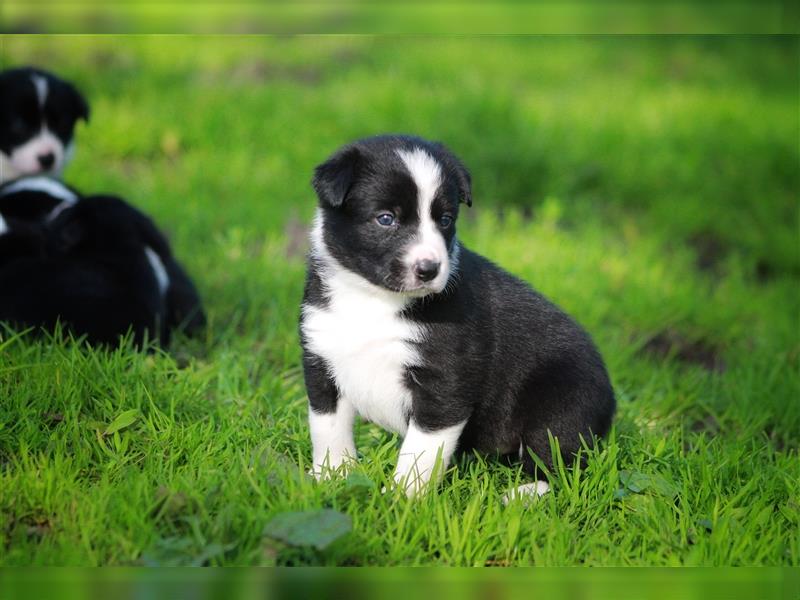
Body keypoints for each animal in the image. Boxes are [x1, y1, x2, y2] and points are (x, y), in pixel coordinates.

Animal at [300, 135, 620, 496]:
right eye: (385, 218)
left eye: (445, 219)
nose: (429, 269)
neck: (374, 300)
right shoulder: (321, 356)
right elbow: (327, 427)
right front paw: (331, 476)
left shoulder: (446, 380)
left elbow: (421, 451)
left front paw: (401, 498)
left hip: (562, 404)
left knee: (563, 467)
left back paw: (520, 495)